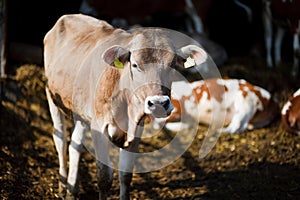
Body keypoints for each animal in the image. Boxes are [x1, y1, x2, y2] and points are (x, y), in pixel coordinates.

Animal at [44, 14, 209, 200]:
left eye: (173, 65)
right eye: (135, 64)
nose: (159, 103)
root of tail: (68, 17)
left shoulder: (136, 129)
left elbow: (126, 175)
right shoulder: (99, 127)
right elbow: (104, 177)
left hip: (80, 113)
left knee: (75, 144)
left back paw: (72, 189)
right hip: (52, 96)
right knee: (61, 140)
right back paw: (61, 186)